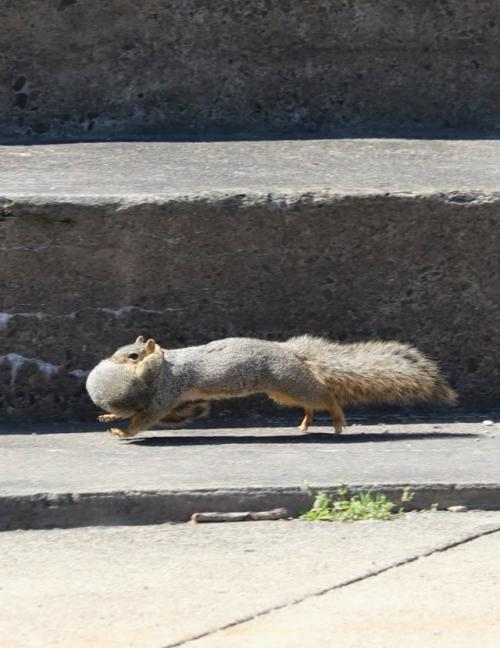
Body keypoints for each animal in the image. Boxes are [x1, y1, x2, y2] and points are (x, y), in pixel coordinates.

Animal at [86, 334, 457, 439]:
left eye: (133, 355)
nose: (108, 360)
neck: (165, 368)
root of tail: (291, 352)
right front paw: (109, 418)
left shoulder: (168, 389)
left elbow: (147, 416)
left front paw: (122, 431)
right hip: (282, 391)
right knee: (312, 401)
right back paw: (306, 421)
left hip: (288, 382)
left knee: (325, 395)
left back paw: (336, 419)